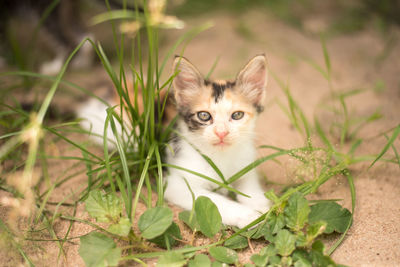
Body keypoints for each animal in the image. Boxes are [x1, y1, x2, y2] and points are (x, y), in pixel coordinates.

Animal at [163, 55, 272, 229]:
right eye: (204, 116)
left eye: (237, 115)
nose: (222, 132)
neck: (221, 156)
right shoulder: (175, 184)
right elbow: (214, 200)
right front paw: (248, 215)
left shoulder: (246, 161)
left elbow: (250, 185)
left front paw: (260, 204)